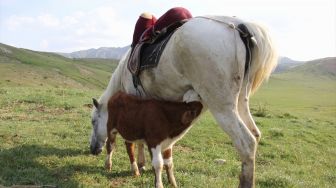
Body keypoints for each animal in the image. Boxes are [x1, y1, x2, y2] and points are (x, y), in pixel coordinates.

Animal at [89, 15, 276, 187]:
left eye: (93, 121)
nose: (93, 149)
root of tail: (240, 27)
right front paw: (146, 165)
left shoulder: (132, 101)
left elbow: (132, 141)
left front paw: (136, 166)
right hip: (241, 102)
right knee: (255, 134)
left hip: (222, 107)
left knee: (247, 143)